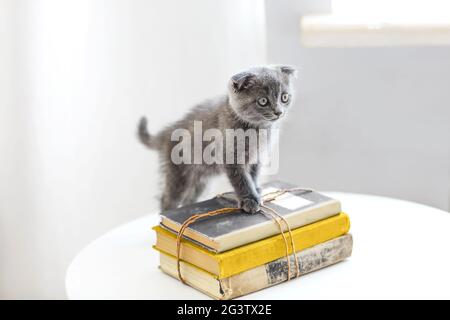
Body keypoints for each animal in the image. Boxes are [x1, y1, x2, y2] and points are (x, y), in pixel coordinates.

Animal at [139, 64, 298, 214]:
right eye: (263, 101)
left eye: (284, 97)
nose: (279, 112)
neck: (258, 129)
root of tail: (167, 130)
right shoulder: (229, 154)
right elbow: (241, 178)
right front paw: (250, 199)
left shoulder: (257, 155)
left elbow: (253, 174)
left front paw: (256, 189)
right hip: (178, 173)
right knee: (168, 198)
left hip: (201, 180)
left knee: (189, 198)